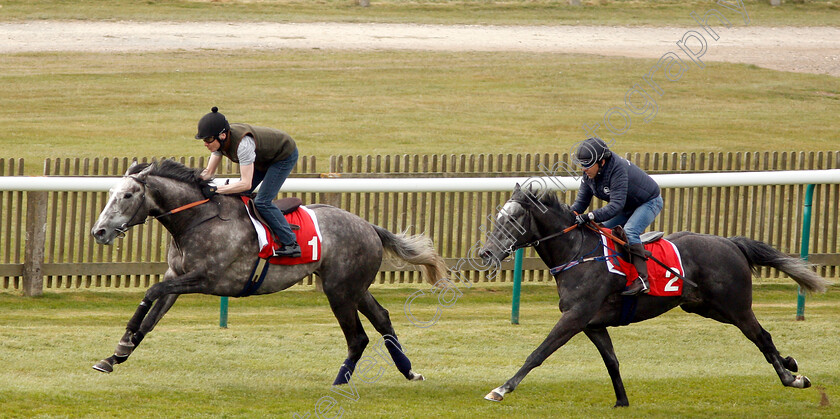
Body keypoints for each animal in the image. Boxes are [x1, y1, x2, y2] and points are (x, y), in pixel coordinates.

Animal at [88, 159, 450, 386]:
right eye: (110, 194)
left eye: (128, 195)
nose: (99, 232)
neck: (197, 220)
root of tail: (370, 227)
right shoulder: (175, 278)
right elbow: (151, 317)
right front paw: (115, 355)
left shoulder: (206, 279)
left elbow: (149, 294)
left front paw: (122, 342)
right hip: (355, 288)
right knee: (383, 319)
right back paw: (409, 372)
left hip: (340, 291)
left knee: (358, 337)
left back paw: (339, 382)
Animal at [476, 185, 832, 406]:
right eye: (497, 217)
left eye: (512, 219)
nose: (485, 253)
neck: (577, 252)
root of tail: (731, 243)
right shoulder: (593, 323)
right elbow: (612, 361)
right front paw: (622, 401)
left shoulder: (575, 316)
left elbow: (538, 353)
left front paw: (501, 389)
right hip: (705, 307)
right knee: (763, 336)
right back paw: (790, 364)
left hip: (735, 306)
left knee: (761, 336)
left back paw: (791, 378)